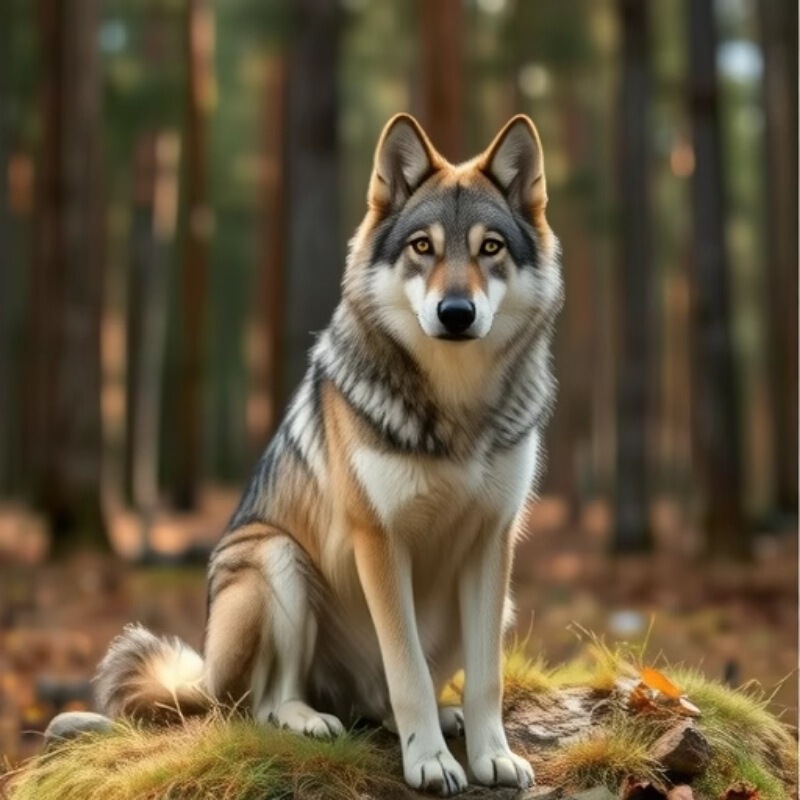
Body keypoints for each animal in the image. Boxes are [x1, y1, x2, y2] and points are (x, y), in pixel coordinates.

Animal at [96, 113, 562, 795]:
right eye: (422, 247)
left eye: (490, 248)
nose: (455, 313)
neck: (456, 406)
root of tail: (204, 679)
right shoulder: (379, 540)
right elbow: (406, 671)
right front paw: (429, 763)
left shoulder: (492, 540)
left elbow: (487, 680)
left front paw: (491, 756)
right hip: (275, 559)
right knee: (264, 703)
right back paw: (311, 719)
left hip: (499, 603)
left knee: (378, 701)